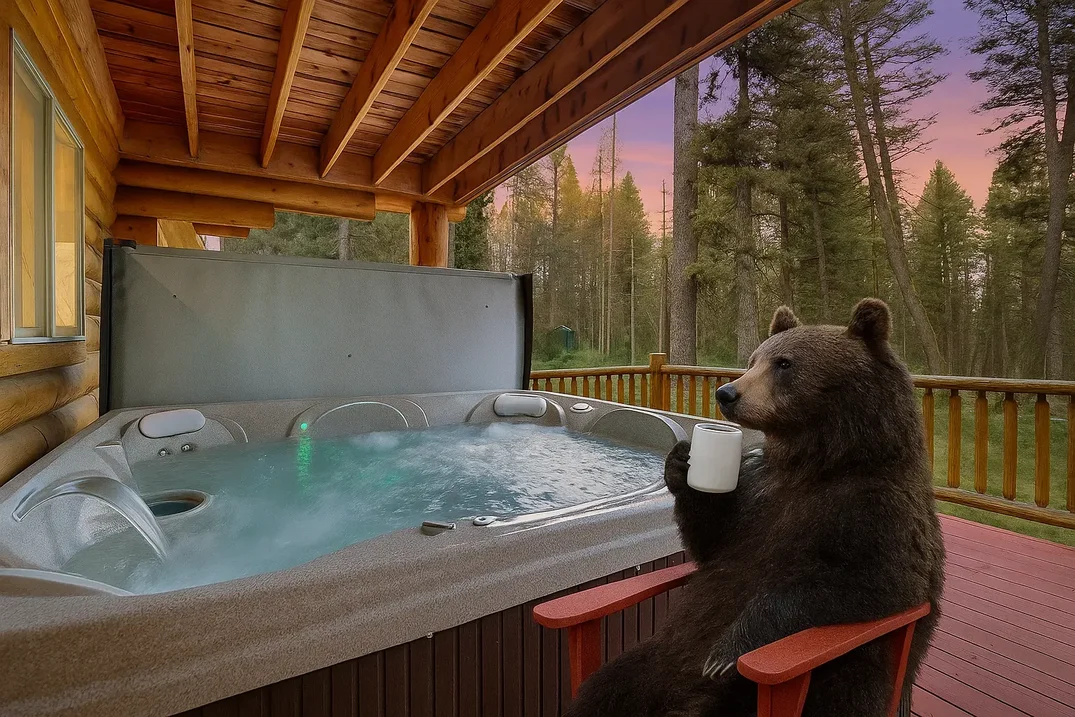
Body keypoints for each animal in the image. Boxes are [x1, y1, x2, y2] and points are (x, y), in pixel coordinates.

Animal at [565, 298, 946, 717]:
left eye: (784, 363)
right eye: (753, 359)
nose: (726, 393)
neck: (819, 461)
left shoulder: (874, 506)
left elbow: (871, 582)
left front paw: (726, 651)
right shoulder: (758, 491)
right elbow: (712, 543)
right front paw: (680, 464)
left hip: (804, 687)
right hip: (654, 662)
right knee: (608, 686)